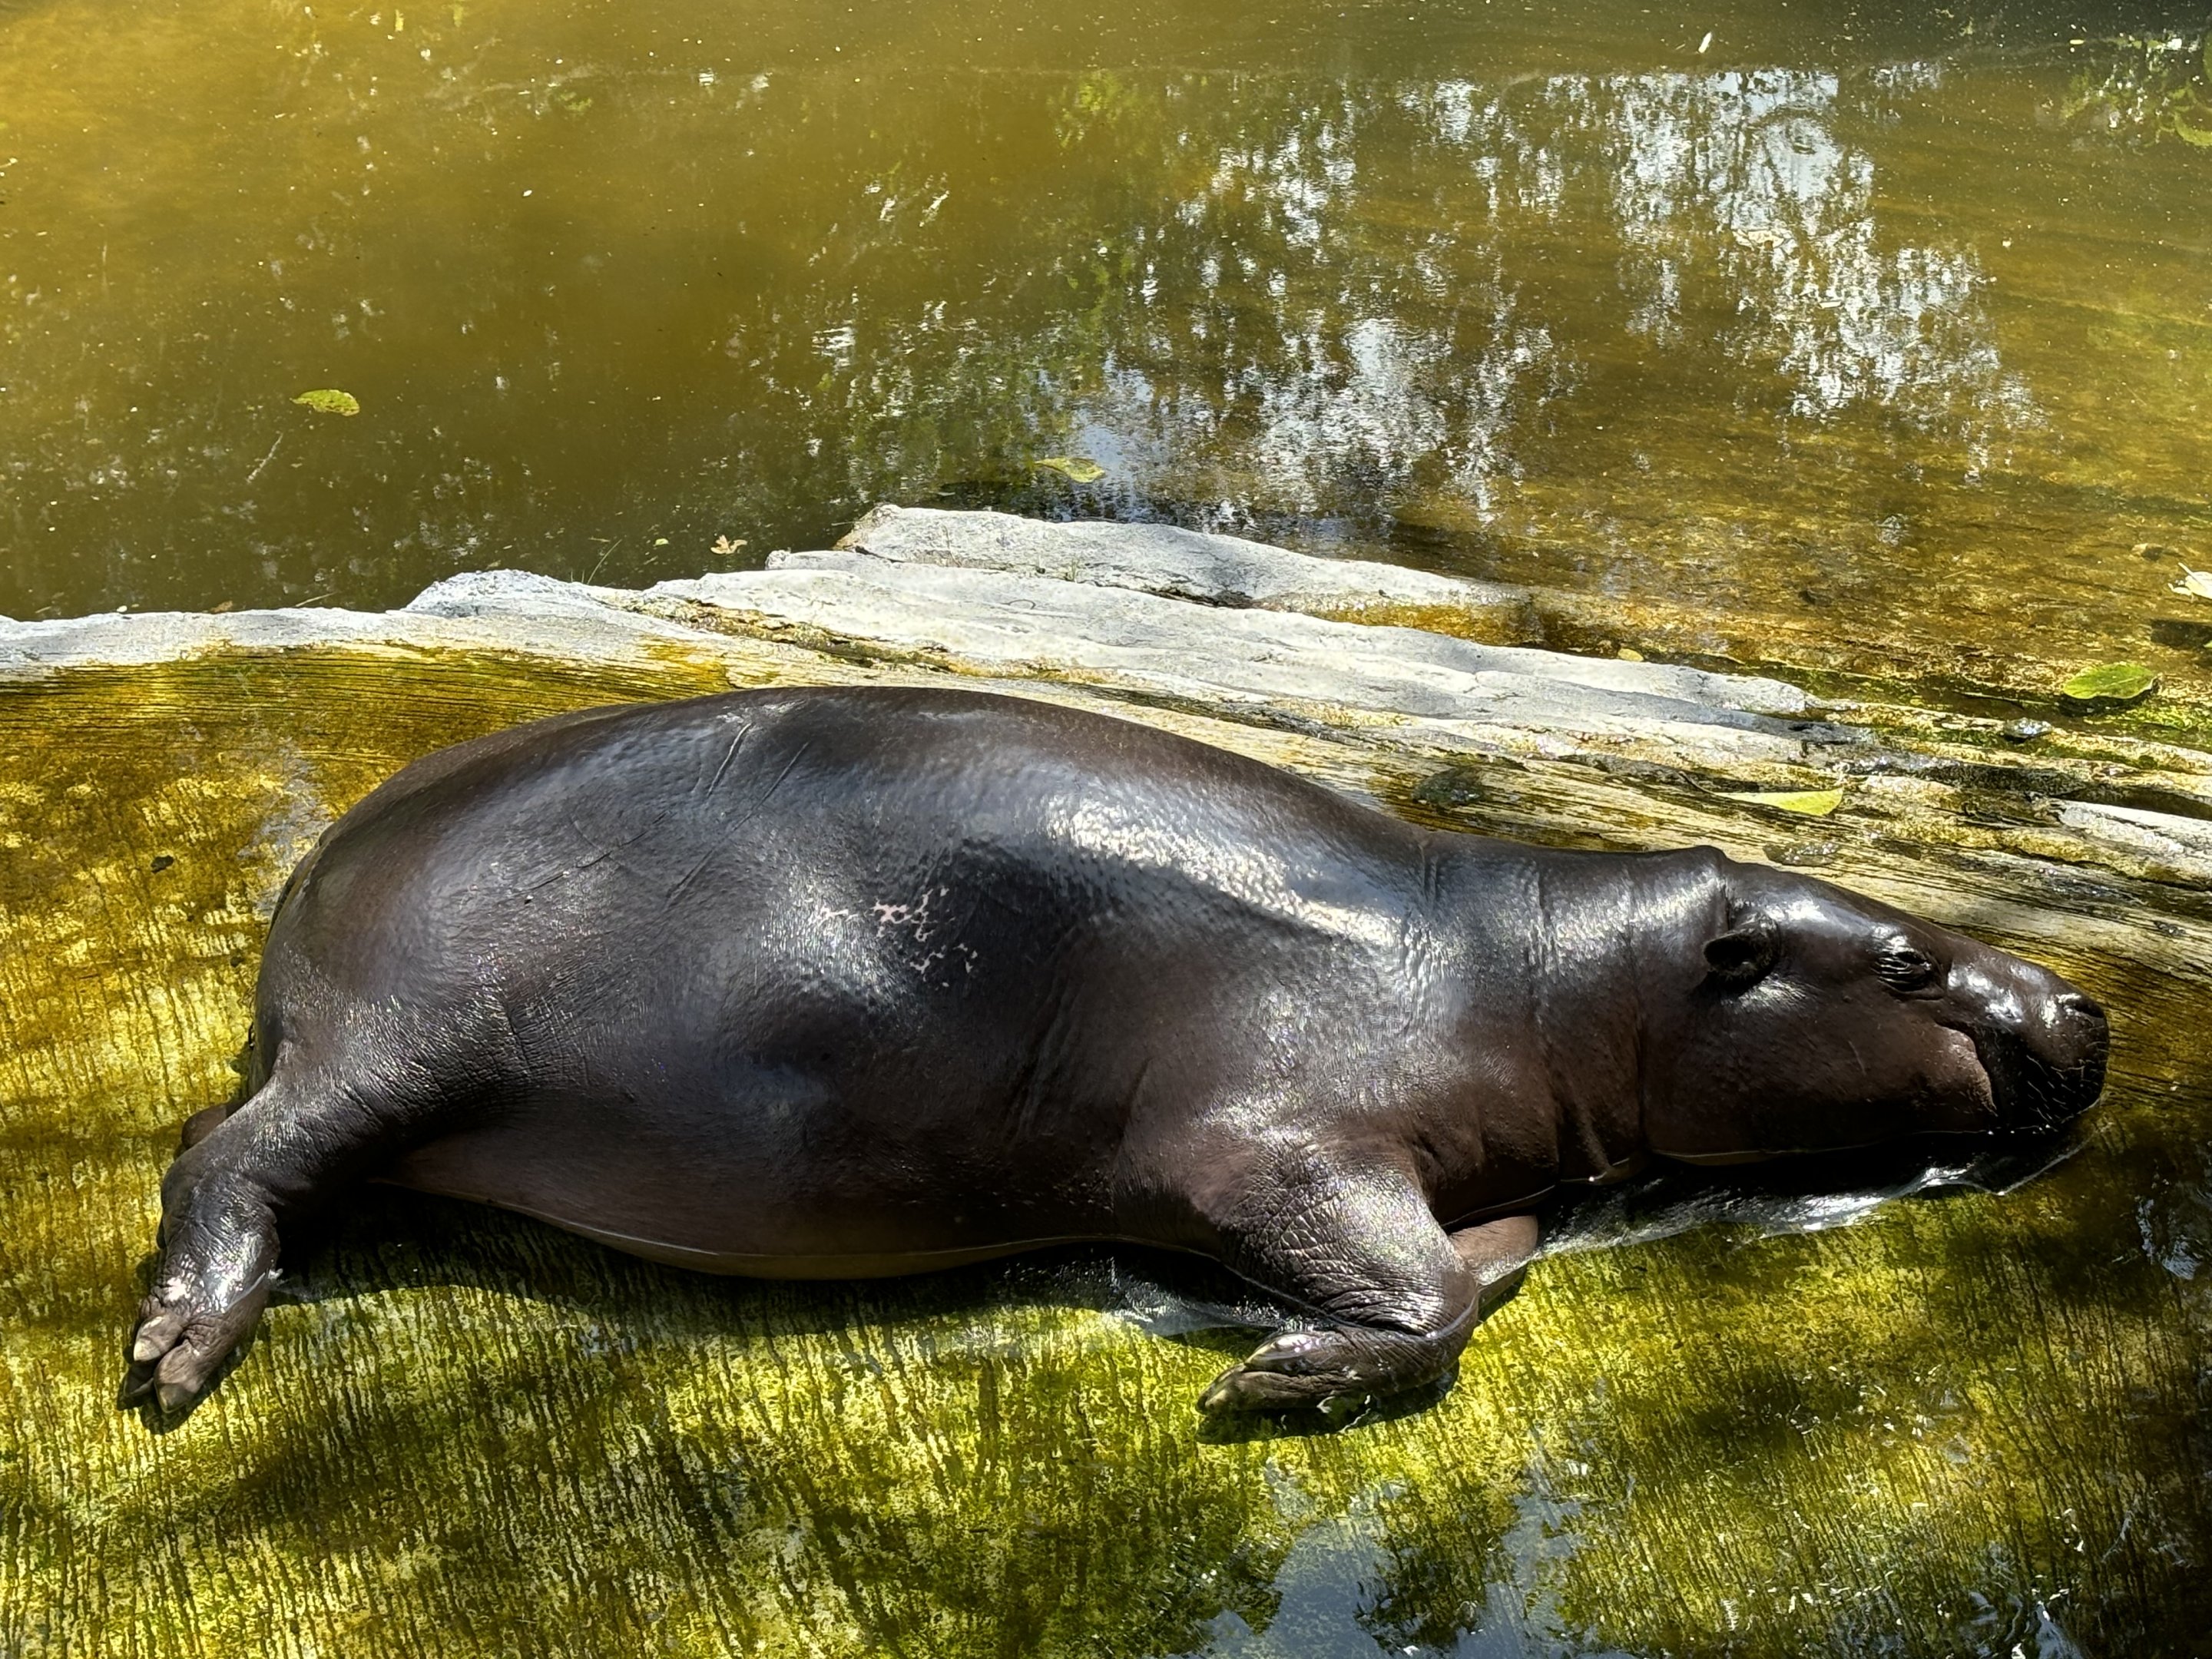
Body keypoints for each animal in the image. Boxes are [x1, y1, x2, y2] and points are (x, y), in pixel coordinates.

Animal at [124, 686, 2108, 1416]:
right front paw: (1269, 1375)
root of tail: (316, 879)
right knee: (232, 1156)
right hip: (419, 1041)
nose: (2083, 1005)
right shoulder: (1269, 1135)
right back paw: (175, 1353)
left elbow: (1481, 1265)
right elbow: (1426, 1292)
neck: (1554, 966)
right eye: (1909, 958)